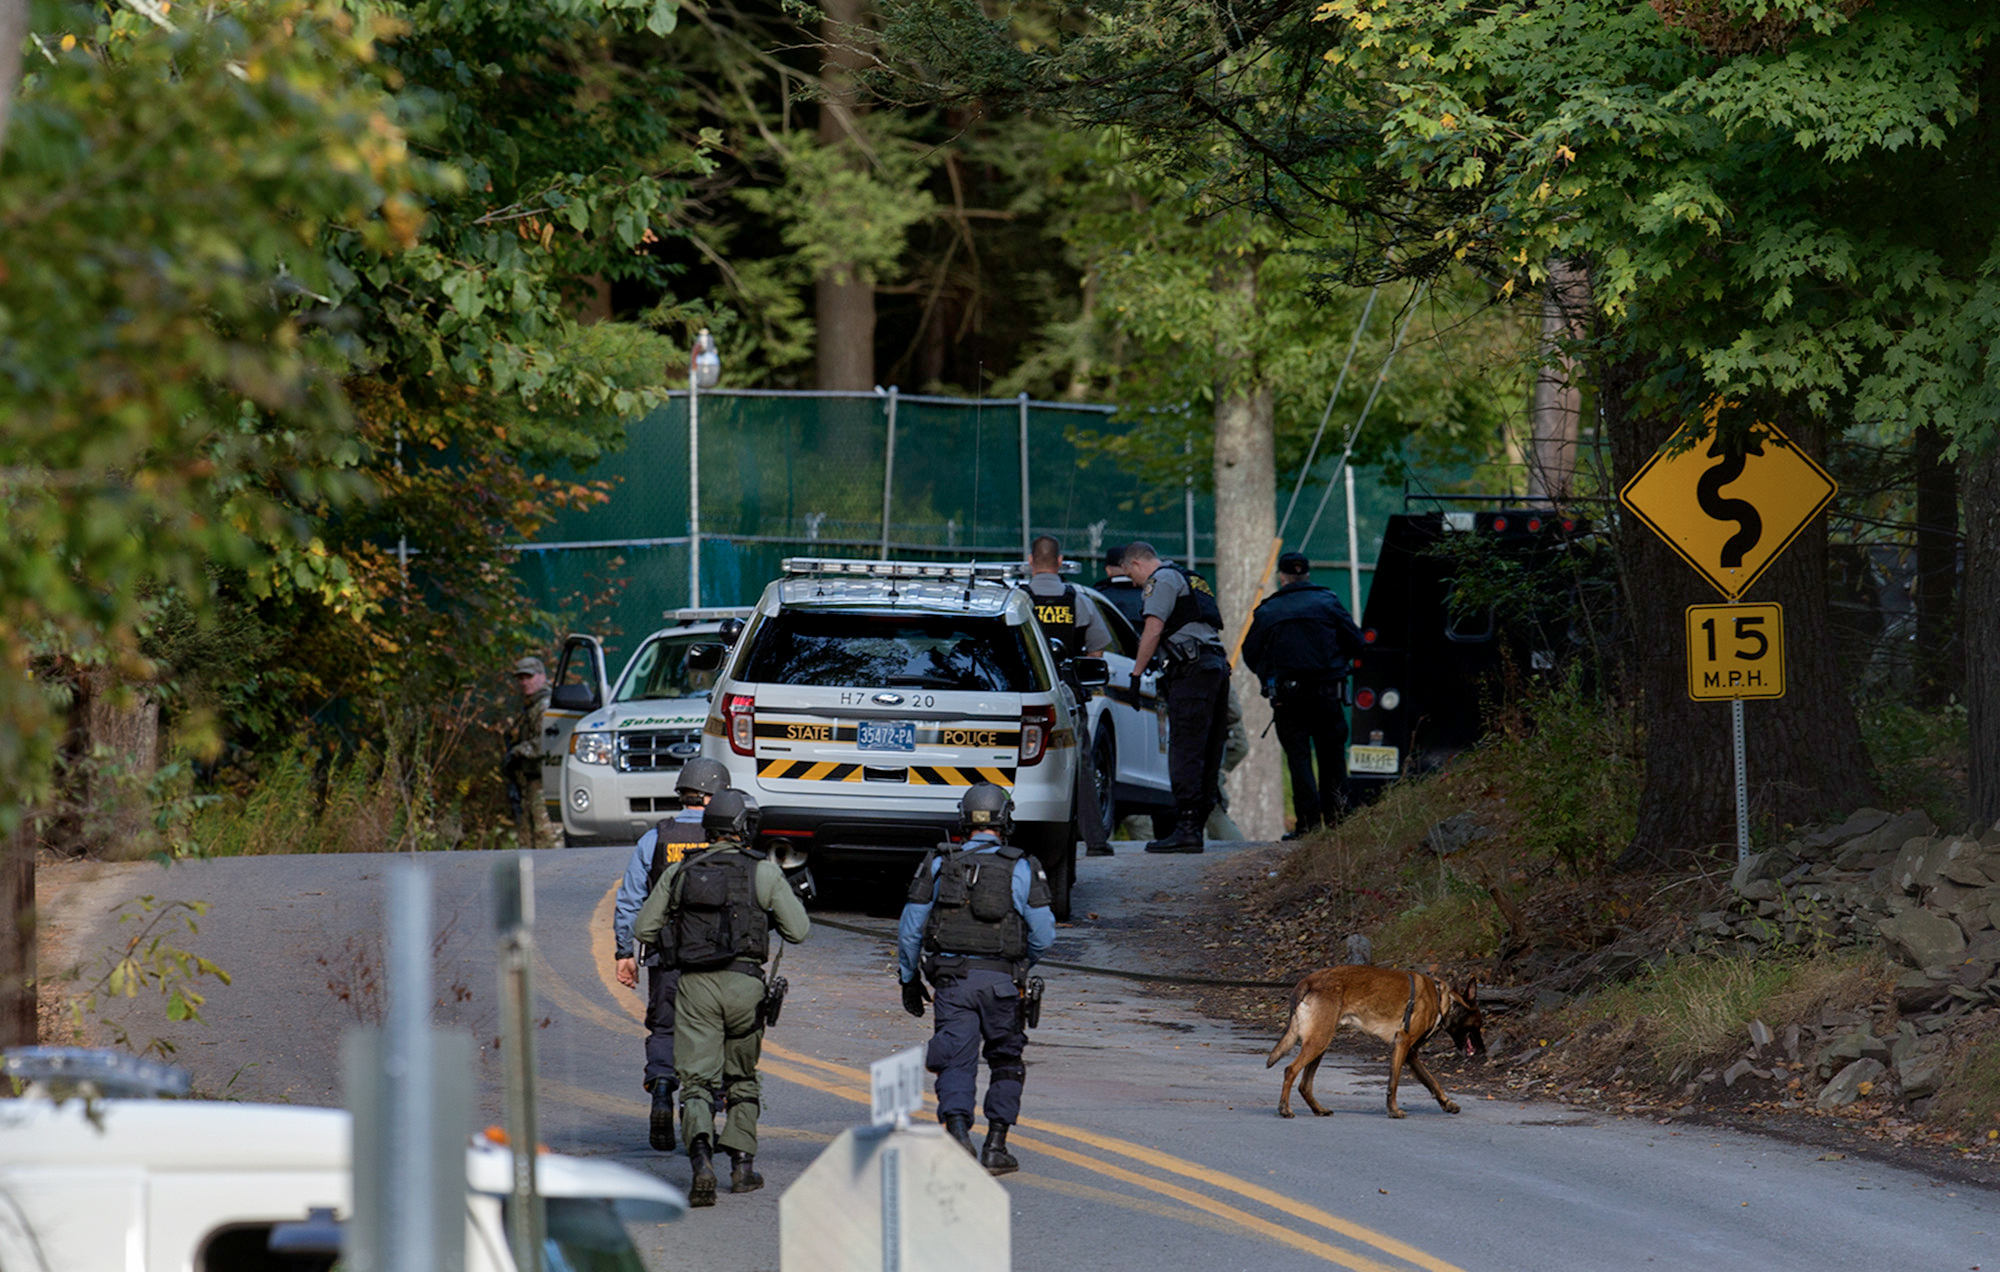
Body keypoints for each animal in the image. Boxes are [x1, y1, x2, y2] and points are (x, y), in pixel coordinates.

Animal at [1264, 968, 1488, 1120]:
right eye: (1479, 1024)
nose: (1483, 1051)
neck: (1444, 999)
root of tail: (1309, 980)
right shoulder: (1403, 1044)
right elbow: (1393, 1082)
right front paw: (1393, 1110)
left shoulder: (1411, 1054)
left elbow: (1432, 1081)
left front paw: (1447, 1103)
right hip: (1319, 1041)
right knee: (1290, 1070)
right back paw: (1284, 1108)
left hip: (1321, 1042)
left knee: (1304, 1084)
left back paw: (1318, 1109)